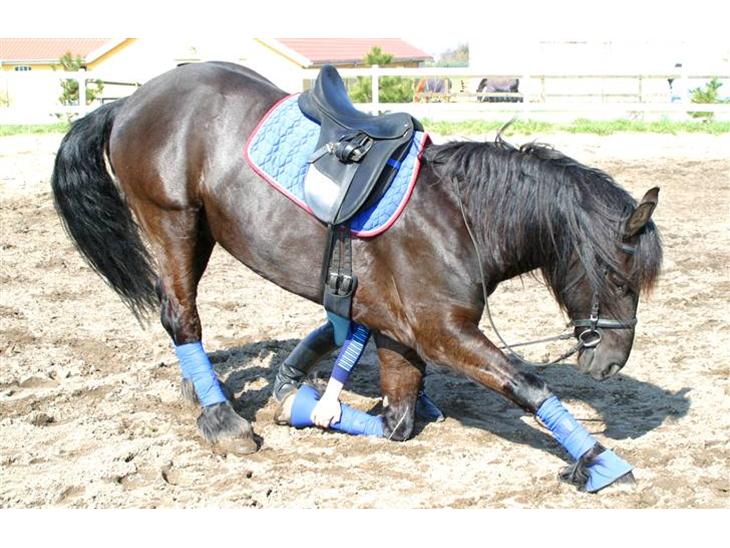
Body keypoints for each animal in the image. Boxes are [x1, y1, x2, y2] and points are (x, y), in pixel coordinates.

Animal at [51, 61, 662, 490]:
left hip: (199, 231)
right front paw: (600, 462)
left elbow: (394, 414)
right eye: (618, 277)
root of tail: (131, 98)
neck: (460, 214)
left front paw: (300, 391)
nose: (611, 364)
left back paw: (203, 389)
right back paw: (222, 419)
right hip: (171, 221)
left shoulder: (396, 330)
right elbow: (527, 385)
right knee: (181, 316)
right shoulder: (440, 331)